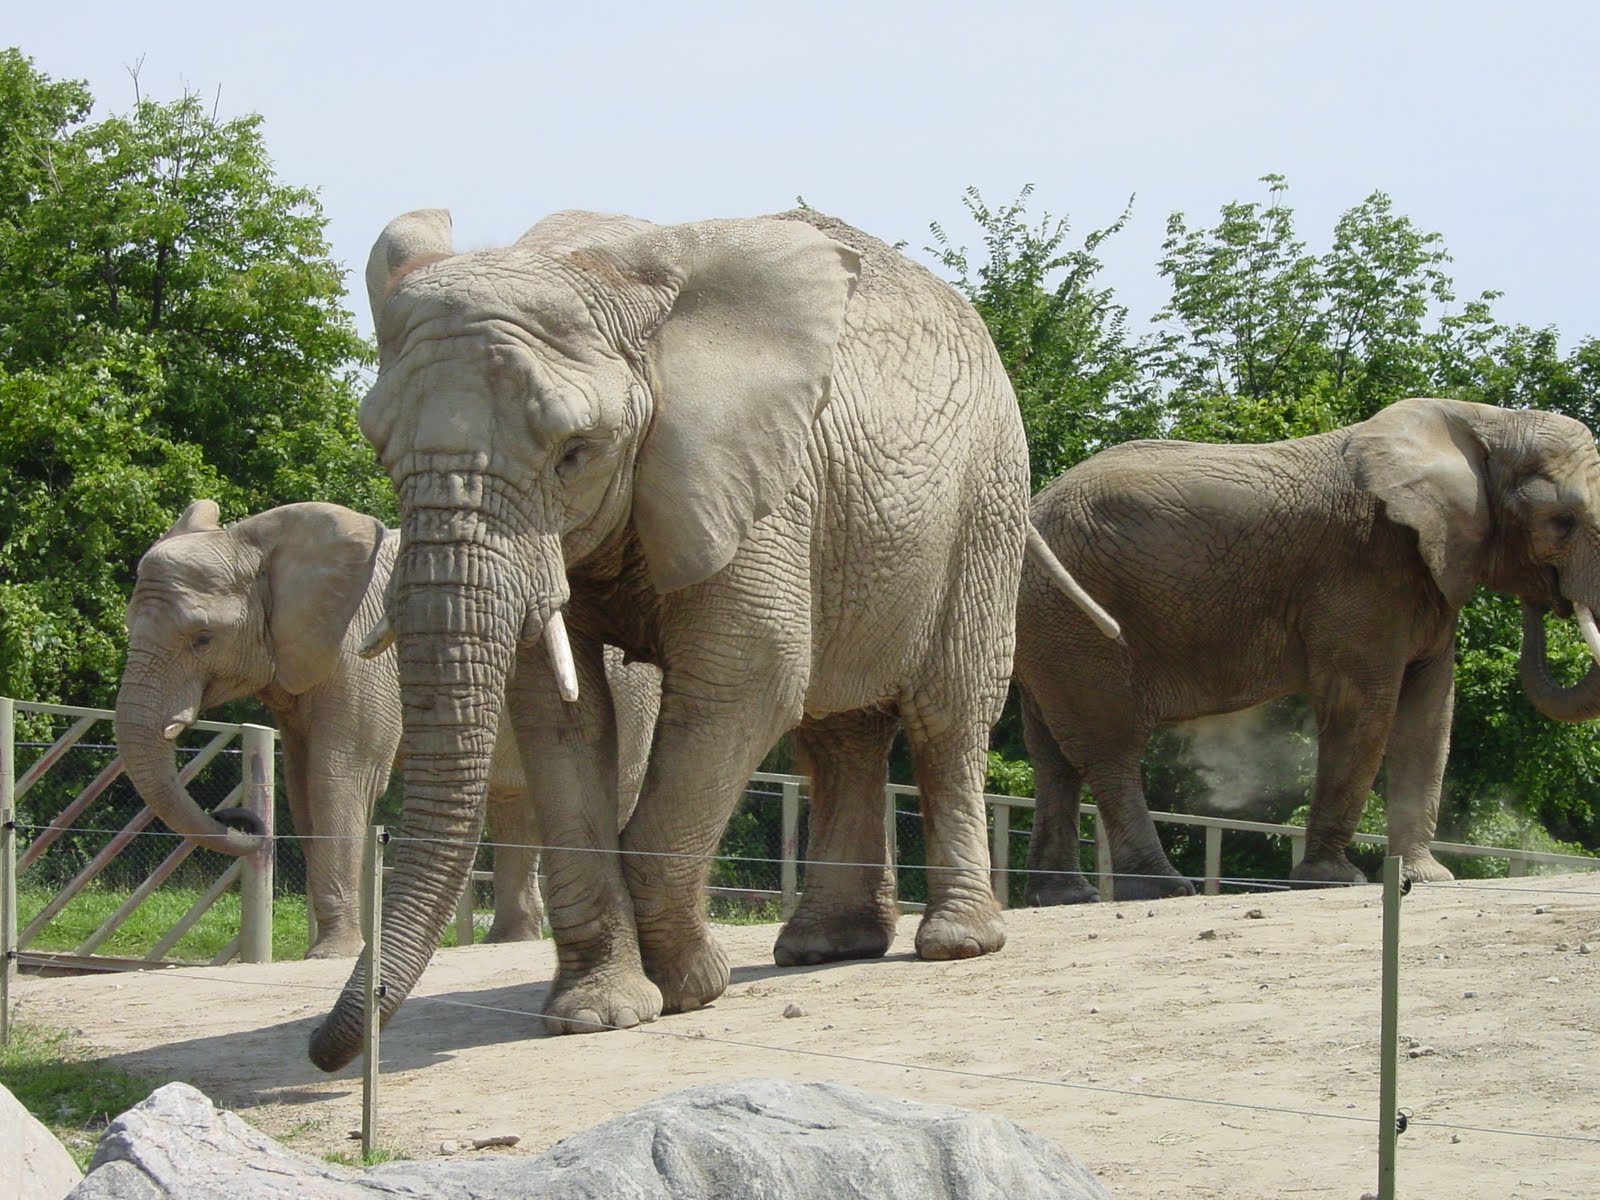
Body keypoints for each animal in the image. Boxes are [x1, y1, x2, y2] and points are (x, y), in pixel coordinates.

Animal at [115, 499, 661, 957]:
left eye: (203, 638)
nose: (241, 818)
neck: (258, 543)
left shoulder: (359, 658)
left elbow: (339, 778)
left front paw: (331, 954)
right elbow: (302, 784)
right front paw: (338, 946)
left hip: (631, 690)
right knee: (513, 802)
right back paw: (505, 942)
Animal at [306, 205, 1118, 1071]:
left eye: (574, 454)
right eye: (380, 451)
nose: (323, 1051)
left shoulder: (759, 480)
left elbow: (749, 677)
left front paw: (690, 988)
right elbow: (559, 714)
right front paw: (599, 1015)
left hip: (987, 498)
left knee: (947, 713)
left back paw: (956, 944)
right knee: (840, 733)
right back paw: (824, 948)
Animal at [1014, 397, 1600, 904]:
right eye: (1563, 522)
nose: (1546, 600)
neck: (1486, 420)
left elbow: (1429, 716)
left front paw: (1427, 879)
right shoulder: (1365, 567)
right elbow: (1362, 706)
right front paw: (1334, 880)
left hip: (1045, 625)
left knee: (1053, 757)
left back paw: (1065, 896)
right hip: (1075, 621)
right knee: (1109, 746)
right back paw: (1163, 888)